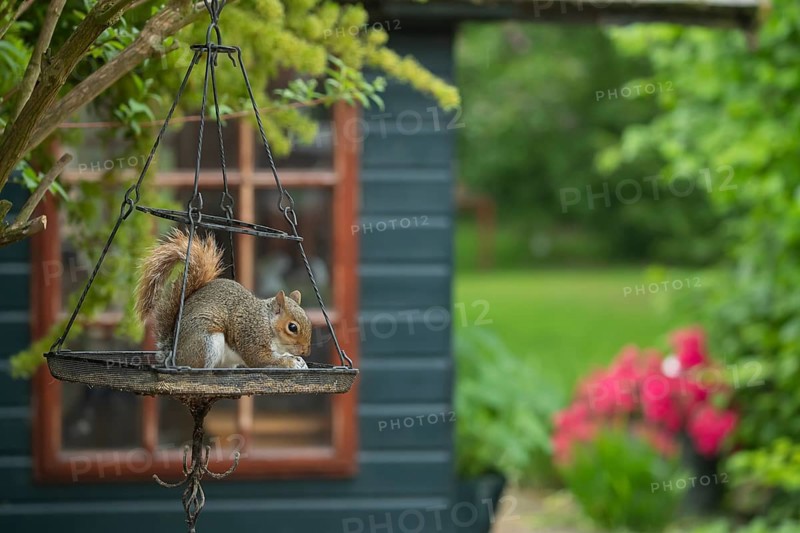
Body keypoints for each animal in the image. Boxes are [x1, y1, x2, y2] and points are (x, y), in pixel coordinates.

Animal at [134, 229, 312, 369]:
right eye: (292, 327)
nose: (306, 351)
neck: (268, 323)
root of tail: (172, 354)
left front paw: (299, 360)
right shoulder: (251, 333)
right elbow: (259, 358)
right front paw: (291, 362)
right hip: (205, 342)